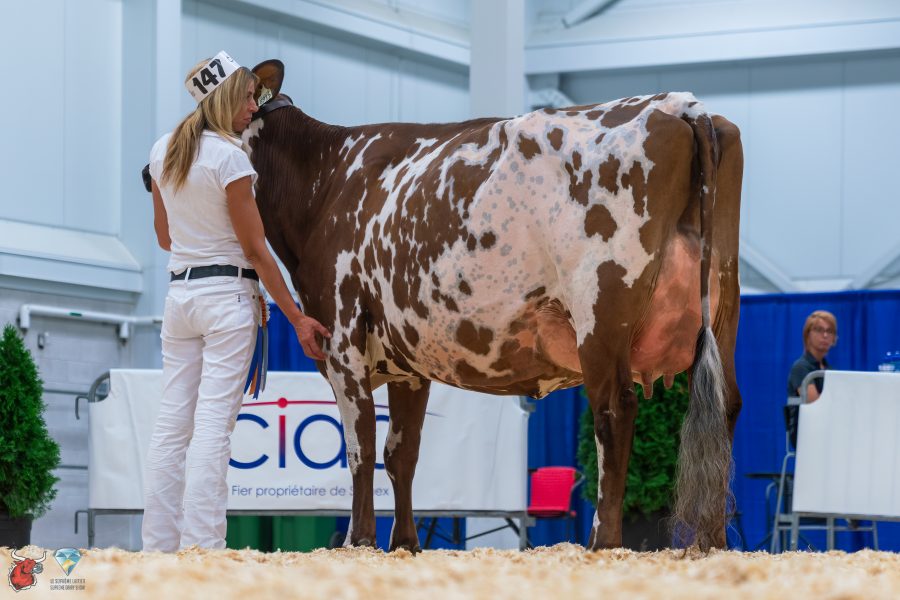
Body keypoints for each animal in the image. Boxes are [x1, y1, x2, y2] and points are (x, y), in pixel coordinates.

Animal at [239, 59, 743, 553]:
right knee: (726, 406)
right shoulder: (407, 363)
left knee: (614, 410)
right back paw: (712, 542)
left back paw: (604, 542)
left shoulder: (342, 340)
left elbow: (360, 446)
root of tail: (676, 104)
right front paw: (405, 543)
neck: (326, 183)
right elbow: (400, 452)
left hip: (601, 310)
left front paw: (358, 540)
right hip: (724, 306)